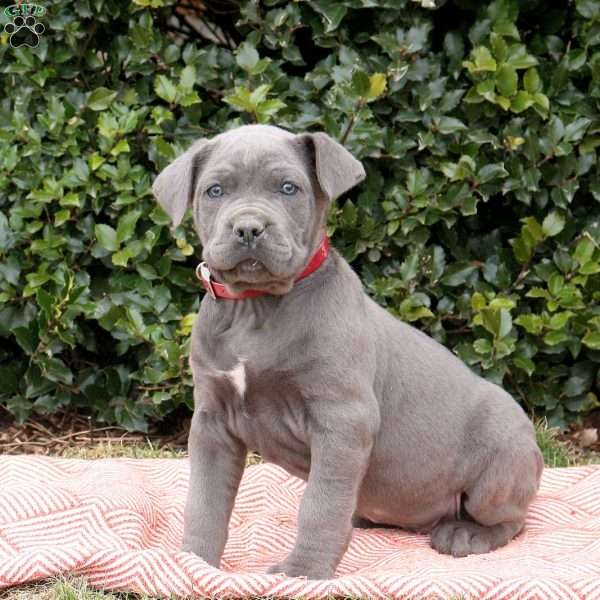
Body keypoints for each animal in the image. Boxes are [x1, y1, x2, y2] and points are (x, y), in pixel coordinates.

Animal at [151, 124, 544, 580]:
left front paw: (302, 572)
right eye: (215, 191)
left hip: (500, 465)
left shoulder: (341, 419)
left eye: (289, 188)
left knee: (514, 518)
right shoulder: (213, 421)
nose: (249, 228)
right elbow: (204, 500)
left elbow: (321, 505)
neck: (255, 307)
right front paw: (192, 563)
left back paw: (466, 534)